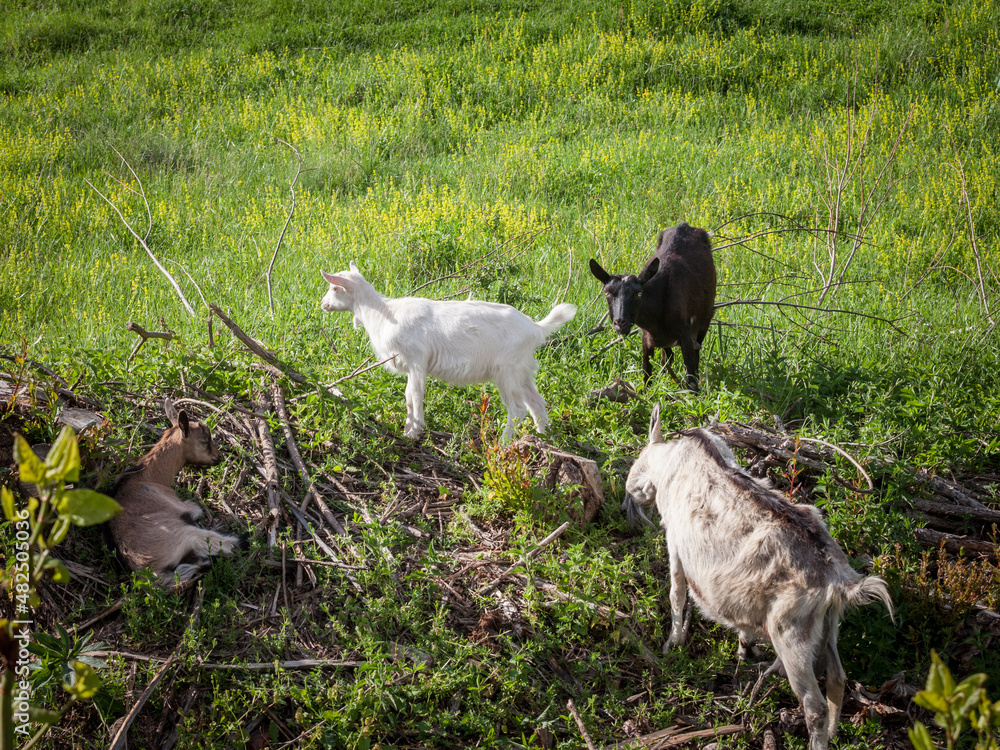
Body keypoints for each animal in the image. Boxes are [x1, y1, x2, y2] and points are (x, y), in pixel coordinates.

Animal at [109, 399, 245, 583]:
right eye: (204, 440)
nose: (218, 457)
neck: (148, 476)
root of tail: (148, 573)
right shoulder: (185, 507)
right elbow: (196, 508)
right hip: (186, 535)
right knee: (225, 546)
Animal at [320, 261, 576, 441]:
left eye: (334, 287)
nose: (322, 304)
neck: (383, 313)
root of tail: (536, 328)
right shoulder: (410, 365)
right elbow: (408, 397)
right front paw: (406, 429)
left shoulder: (417, 360)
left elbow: (415, 395)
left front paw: (415, 431)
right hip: (523, 368)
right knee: (537, 402)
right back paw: (544, 437)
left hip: (507, 369)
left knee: (518, 408)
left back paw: (504, 441)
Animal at [589, 222, 716, 391]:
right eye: (607, 292)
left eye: (638, 294)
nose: (620, 323)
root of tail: (686, 225)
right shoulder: (646, 338)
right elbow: (647, 377)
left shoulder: (685, 334)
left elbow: (691, 380)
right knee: (667, 359)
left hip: (704, 319)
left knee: (695, 355)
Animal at [624, 405, 894, 750]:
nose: (630, 495)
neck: (673, 459)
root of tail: (838, 581)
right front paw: (744, 649)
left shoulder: (675, 541)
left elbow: (676, 593)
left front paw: (672, 644)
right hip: (829, 624)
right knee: (837, 678)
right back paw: (834, 733)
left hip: (790, 634)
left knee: (814, 705)